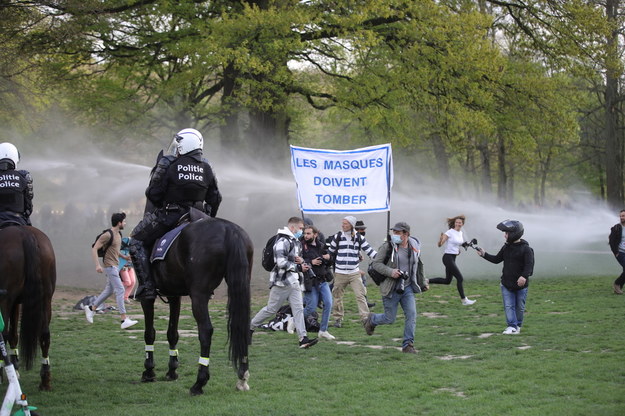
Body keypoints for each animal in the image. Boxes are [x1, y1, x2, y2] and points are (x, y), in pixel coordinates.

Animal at [0, 224, 56, 390]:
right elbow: (13, 334)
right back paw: (45, 379)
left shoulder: (10, 301)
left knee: (3, 332)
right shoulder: (17, 302)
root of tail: (24, 233)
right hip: (46, 298)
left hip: (6, 298)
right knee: (44, 334)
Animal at [140, 216, 252, 394]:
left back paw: (199, 382)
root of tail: (229, 229)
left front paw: (149, 371)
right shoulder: (174, 295)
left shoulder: (147, 298)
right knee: (243, 327)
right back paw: (242, 377)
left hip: (199, 295)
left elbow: (149, 333)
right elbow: (172, 333)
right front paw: (172, 370)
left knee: (205, 331)